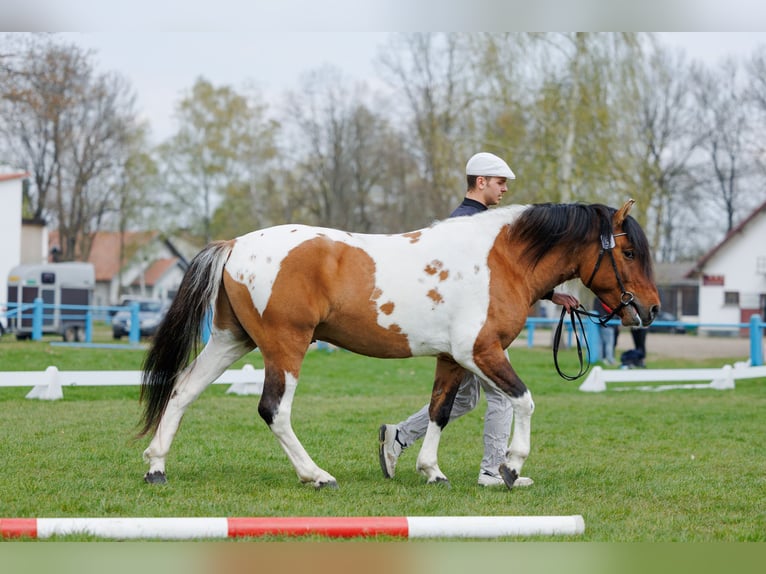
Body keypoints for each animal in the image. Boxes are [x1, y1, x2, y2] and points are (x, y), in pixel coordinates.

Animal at [139, 199, 659, 490]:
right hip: (285, 347)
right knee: (274, 410)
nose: (651, 310)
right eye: (629, 251)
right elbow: (524, 400)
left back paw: (156, 466)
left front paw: (431, 470)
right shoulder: (481, 353)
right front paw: (510, 466)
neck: (501, 260)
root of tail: (235, 245)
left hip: (233, 339)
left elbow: (439, 411)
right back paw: (316, 475)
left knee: (183, 390)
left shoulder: (452, 358)